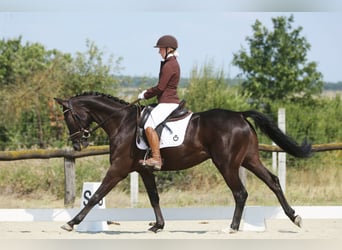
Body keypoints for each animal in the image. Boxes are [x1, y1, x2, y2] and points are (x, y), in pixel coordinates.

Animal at [54, 92, 312, 234]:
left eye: (69, 117)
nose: (78, 145)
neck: (122, 122)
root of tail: (239, 115)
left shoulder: (119, 168)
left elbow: (96, 195)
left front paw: (71, 222)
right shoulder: (143, 170)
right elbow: (154, 197)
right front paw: (158, 225)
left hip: (227, 164)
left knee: (240, 193)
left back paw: (232, 227)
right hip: (250, 159)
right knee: (274, 181)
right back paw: (295, 217)